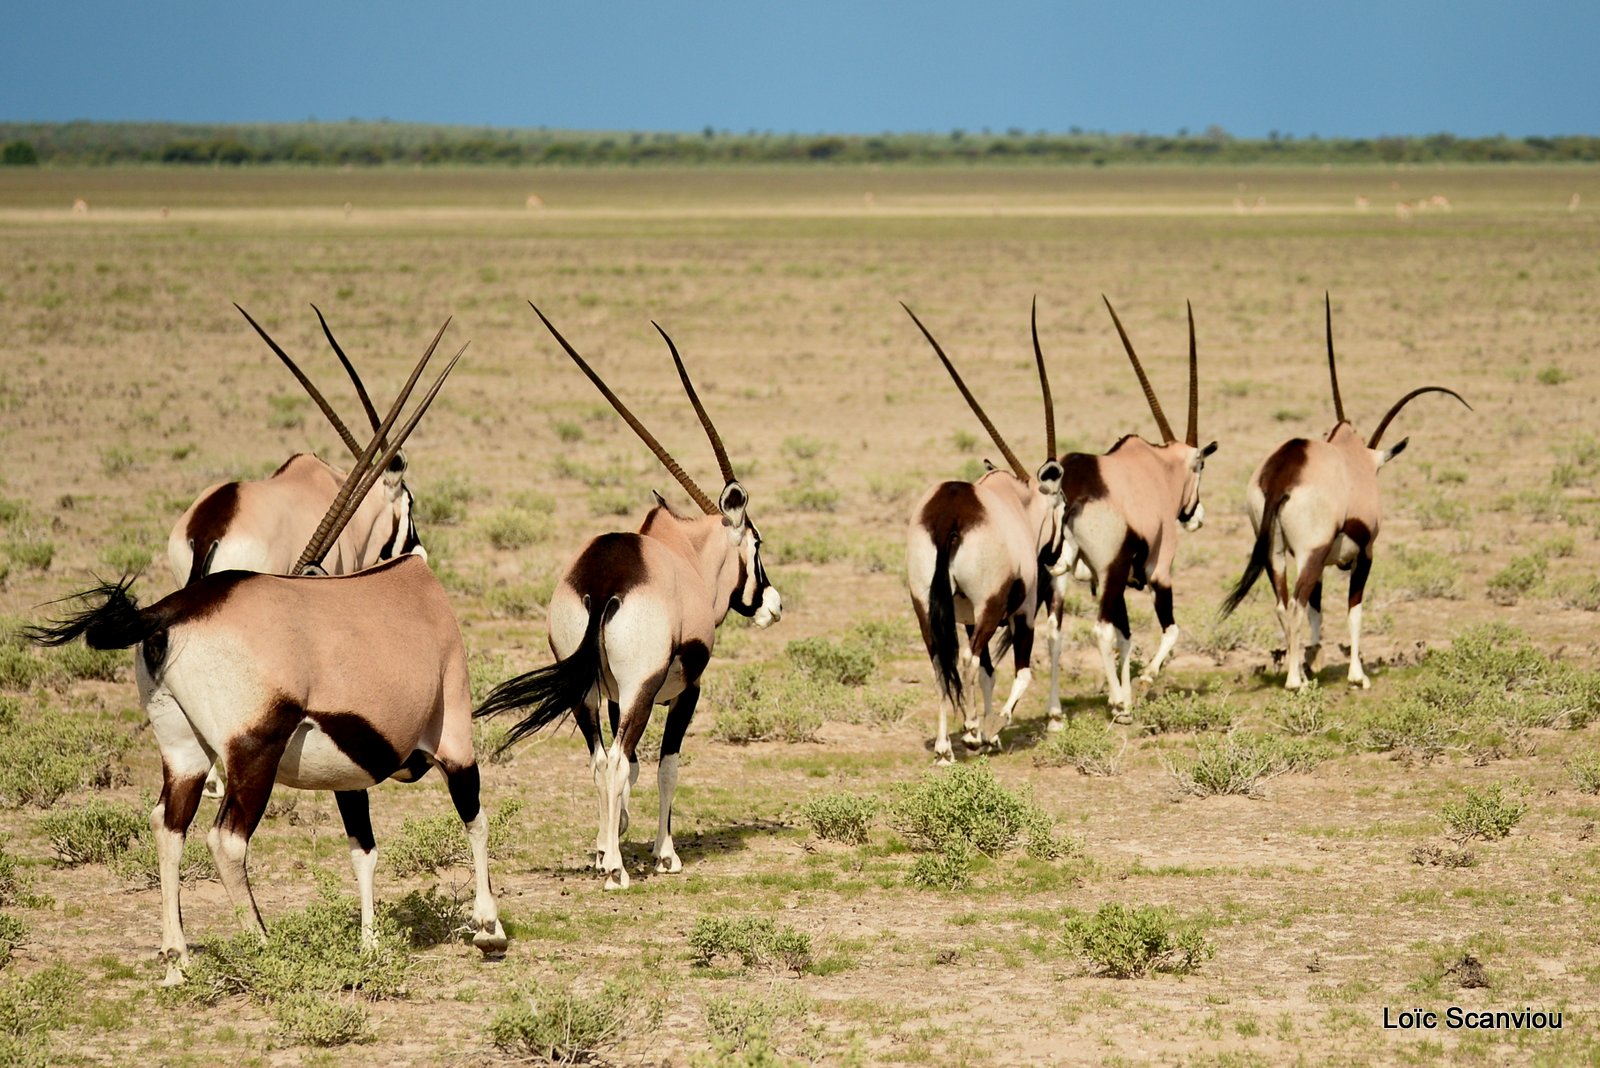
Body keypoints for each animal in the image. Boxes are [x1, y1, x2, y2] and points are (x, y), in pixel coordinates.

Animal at [31, 327, 505, 984]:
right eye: (408, 505)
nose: (415, 542)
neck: (409, 582)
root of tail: (164, 614)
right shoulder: (455, 736)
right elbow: (475, 817)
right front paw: (489, 928)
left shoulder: (349, 774)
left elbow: (363, 850)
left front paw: (370, 945)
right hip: (253, 751)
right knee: (226, 839)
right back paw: (263, 942)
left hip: (182, 749)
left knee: (167, 825)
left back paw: (178, 957)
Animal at [476, 303, 784, 888]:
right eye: (757, 543)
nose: (774, 605)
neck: (683, 556)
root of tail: (604, 582)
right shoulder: (685, 690)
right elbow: (664, 766)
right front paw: (663, 853)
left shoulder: (615, 694)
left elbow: (635, 769)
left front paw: (608, 838)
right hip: (641, 687)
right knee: (617, 758)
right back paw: (618, 872)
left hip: (586, 692)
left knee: (602, 760)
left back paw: (606, 856)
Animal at [902, 298, 1062, 757]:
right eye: (1061, 504)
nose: (1055, 555)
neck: (1016, 503)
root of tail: (949, 517)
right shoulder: (1021, 612)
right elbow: (1019, 672)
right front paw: (992, 730)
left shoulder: (968, 616)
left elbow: (990, 671)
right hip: (991, 607)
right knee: (969, 661)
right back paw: (972, 733)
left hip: (925, 605)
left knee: (942, 662)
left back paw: (944, 748)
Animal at [1043, 295, 1216, 722]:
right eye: (1201, 466)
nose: (1195, 516)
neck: (1157, 468)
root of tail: (1067, 494)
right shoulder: (1158, 571)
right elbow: (1169, 630)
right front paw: (1137, 688)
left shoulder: (1114, 582)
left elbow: (1126, 636)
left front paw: (1118, 694)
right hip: (1110, 569)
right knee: (1100, 629)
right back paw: (1121, 707)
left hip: (1061, 577)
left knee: (1055, 632)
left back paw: (1056, 713)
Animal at [1222, 295, 1472, 687]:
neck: (1351, 456)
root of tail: (1283, 472)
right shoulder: (1364, 554)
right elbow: (1354, 610)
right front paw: (1357, 676)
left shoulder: (1324, 563)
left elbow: (1317, 613)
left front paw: (1314, 663)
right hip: (1309, 552)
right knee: (1294, 605)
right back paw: (1295, 683)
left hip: (1276, 553)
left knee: (1284, 605)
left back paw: (1300, 674)